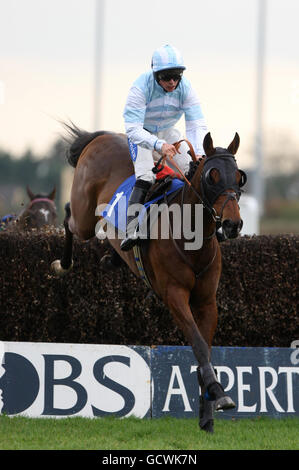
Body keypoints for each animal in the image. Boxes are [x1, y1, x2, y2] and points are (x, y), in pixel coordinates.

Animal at [52, 125, 248, 434]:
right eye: (212, 176)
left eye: (239, 176)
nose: (232, 224)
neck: (190, 238)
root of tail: (102, 137)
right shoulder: (174, 295)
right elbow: (198, 344)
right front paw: (218, 392)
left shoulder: (207, 301)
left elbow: (204, 348)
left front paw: (208, 413)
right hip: (84, 216)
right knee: (70, 215)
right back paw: (63, 263)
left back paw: (113, 257)